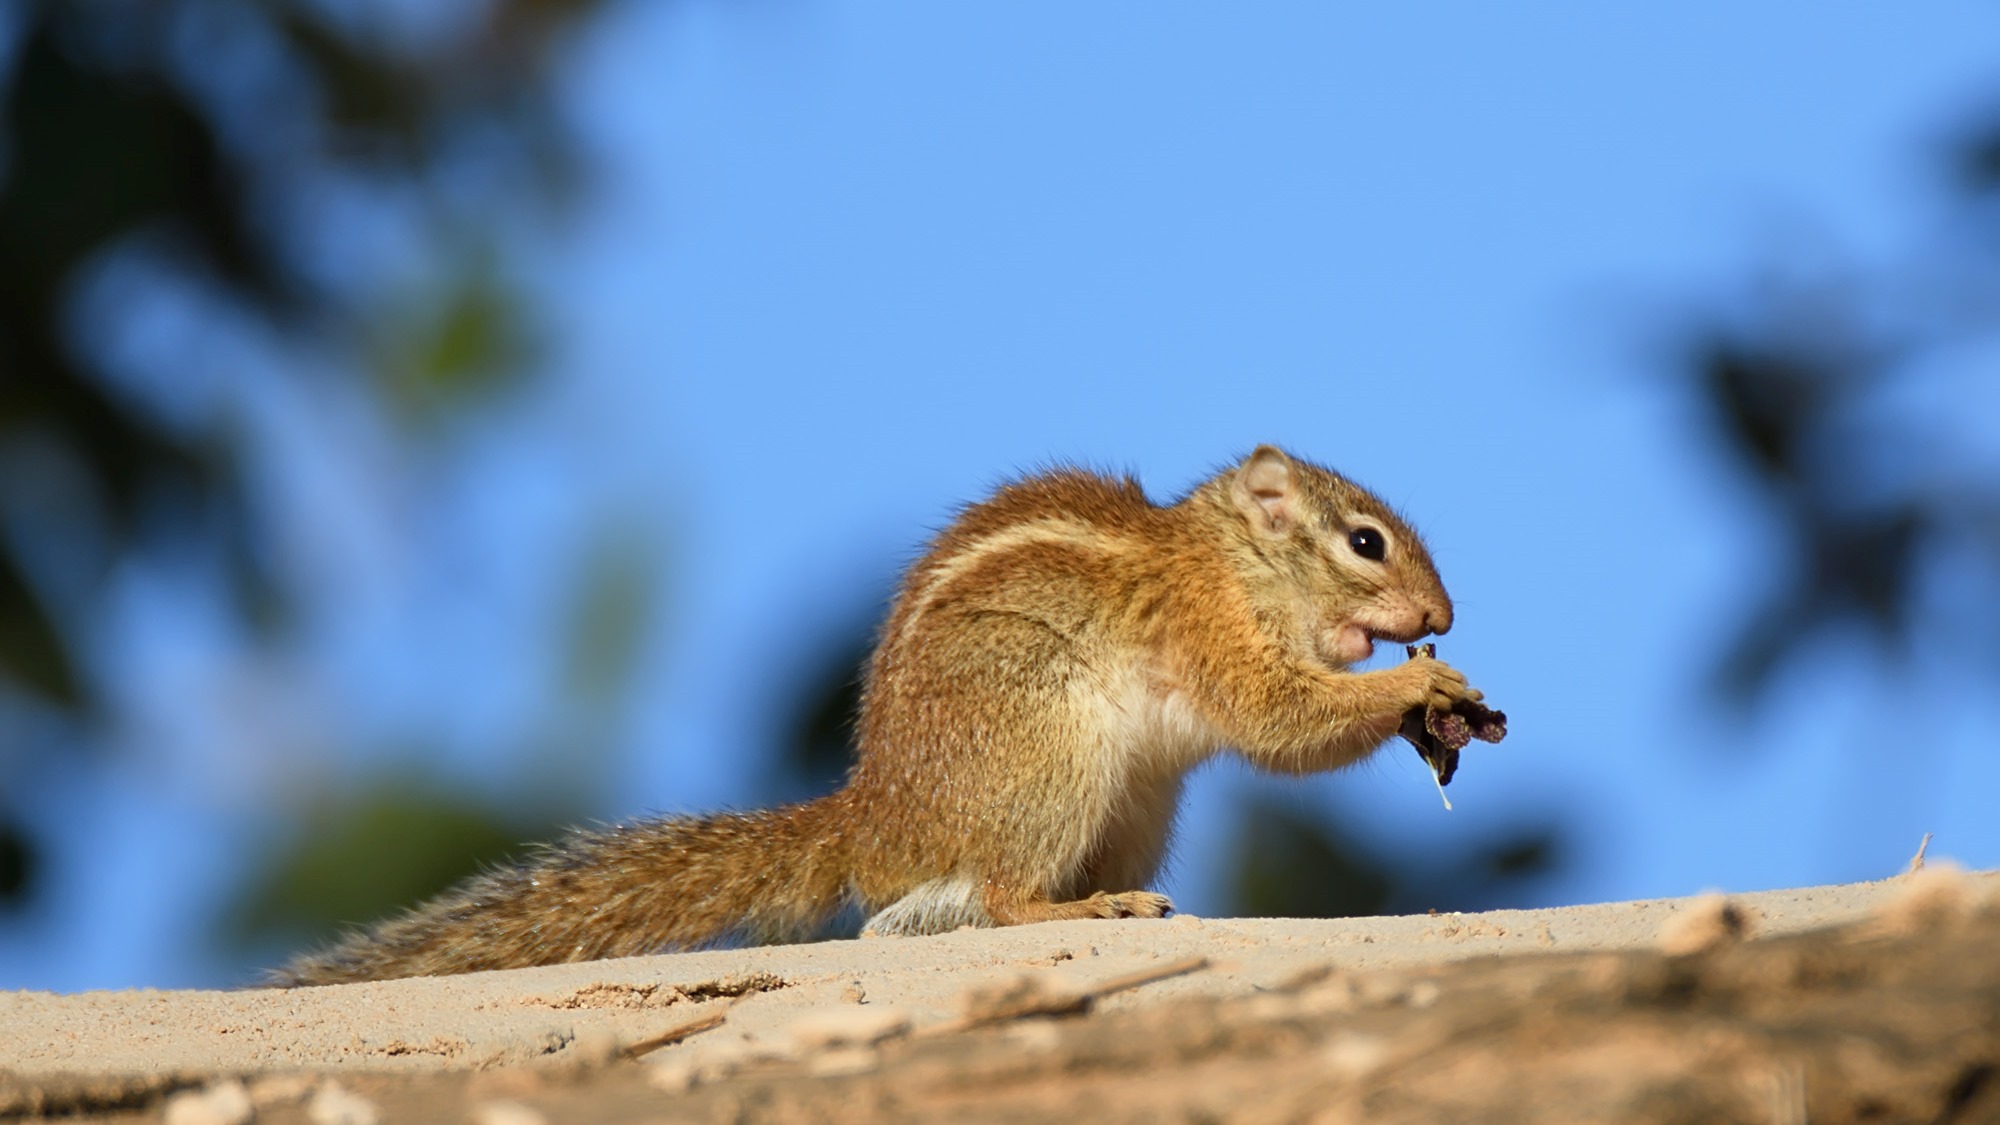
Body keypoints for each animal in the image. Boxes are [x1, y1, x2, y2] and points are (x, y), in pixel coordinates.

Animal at [271, 445, 1480, 986]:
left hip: (1135, 804)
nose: (1442, 615)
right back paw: (1083, 909)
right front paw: (1419, 688)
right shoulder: (1212, 631)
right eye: (1364, 541)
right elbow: (1278, 719)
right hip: (1049, 758)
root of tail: (873, 818)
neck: (1225, 561)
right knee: (997, 897)